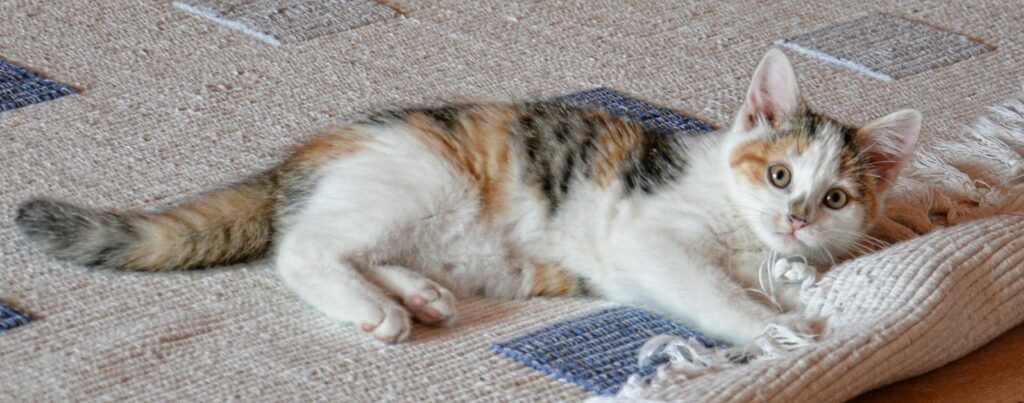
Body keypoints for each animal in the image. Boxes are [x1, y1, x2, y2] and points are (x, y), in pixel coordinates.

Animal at [12, 49, 921, 345]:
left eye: (836, 198)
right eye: (779, 175)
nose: (795, 217)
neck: (745, 231)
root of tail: (305, 153)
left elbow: (786, 277)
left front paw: (791, 289)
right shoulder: (646, 234)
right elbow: (711, 288)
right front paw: (770, 327)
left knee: (351, 247)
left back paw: (418, 295)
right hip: (427, 178)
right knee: (302, 247)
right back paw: (378, 309)